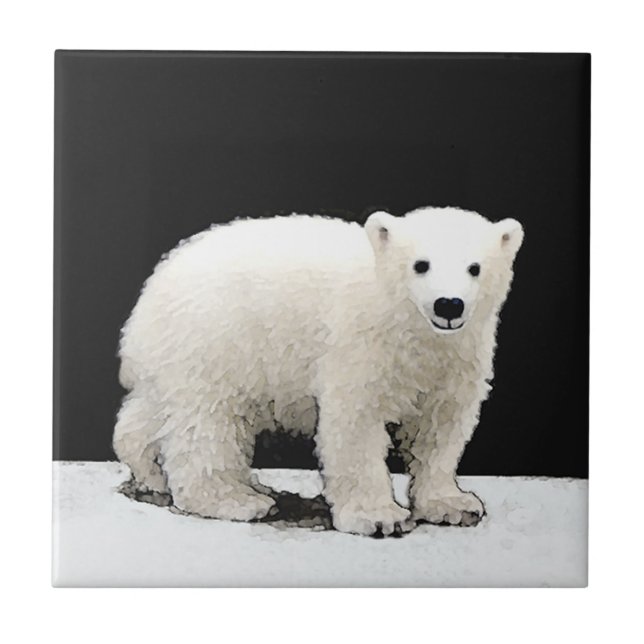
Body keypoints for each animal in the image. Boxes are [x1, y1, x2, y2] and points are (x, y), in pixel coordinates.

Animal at [114, 206, 523, 536]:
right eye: (421, 264)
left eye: (475, 267)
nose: (449, 304)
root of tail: (150, 293)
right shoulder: (360, 344)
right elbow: (356, 423)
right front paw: (378, 517)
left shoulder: (457, 359)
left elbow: (440, 429)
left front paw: (454, 504)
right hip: (216, 342)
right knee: (208, 424)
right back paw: (237, 499)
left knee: (152, 414)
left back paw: (153, 473)